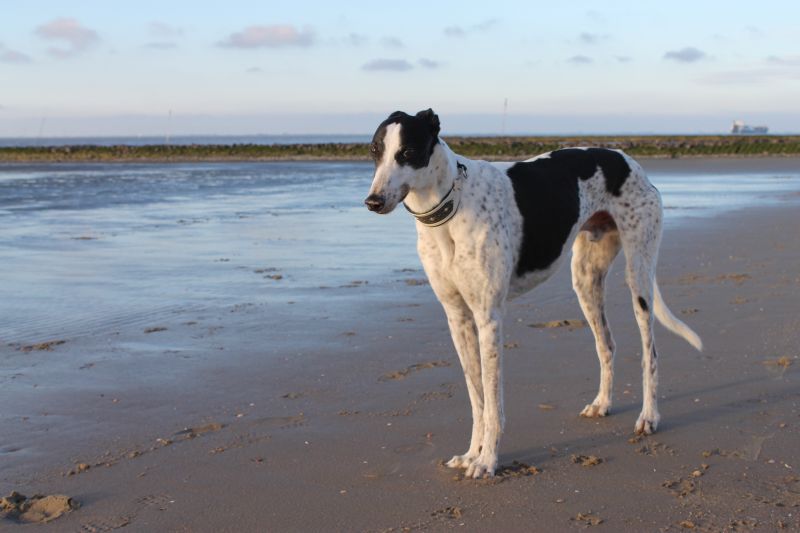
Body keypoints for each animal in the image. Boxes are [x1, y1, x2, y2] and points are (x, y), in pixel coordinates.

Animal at [364, 109, 702, 479]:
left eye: (408, 152)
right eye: (374, 150)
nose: (373, 201)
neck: (450, 207)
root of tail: (627, 159)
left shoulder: (488, 318)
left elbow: (492, 402)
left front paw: (487, 461)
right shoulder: (458, 317)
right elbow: (477, 397)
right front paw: (471, 454)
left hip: (639, 272)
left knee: (649, 351)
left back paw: (649, 417)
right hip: (586, 279)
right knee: (607, 344)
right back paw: (602, 403)